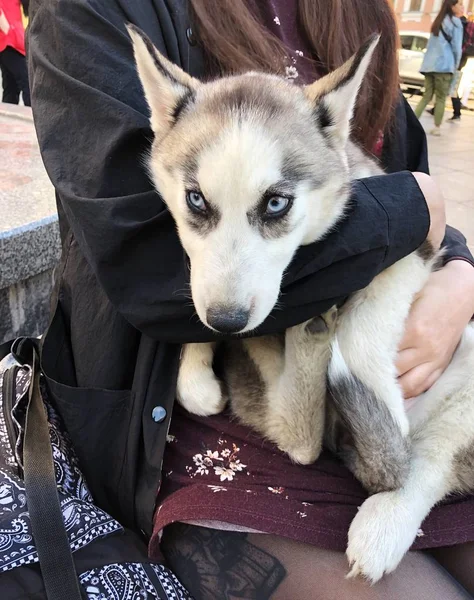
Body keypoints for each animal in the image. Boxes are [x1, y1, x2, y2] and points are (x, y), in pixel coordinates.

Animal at [128, 25, 474, 584]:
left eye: (276, 203)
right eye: (196, 199)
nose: (230, 323)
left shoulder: (417, 240)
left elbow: (365, 326)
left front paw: (380, 394)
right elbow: (192, 304)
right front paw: (194, 375)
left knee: (430, 464)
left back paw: (385, 513)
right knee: (302, 443)